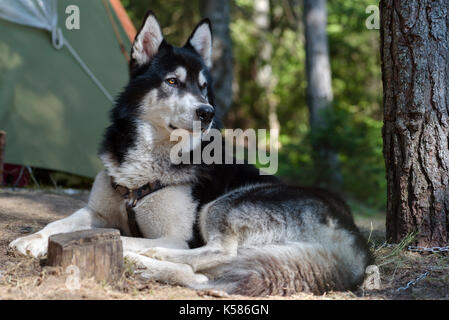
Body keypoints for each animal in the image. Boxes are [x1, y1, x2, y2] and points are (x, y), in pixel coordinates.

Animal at [9, 12, 372, 296]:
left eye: (203, 87)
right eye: (172, 81)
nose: (207, 112)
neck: (149, 161)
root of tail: (354, 240)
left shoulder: (176, 235)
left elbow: (120, 235)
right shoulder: (96, 211)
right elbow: (63, 222)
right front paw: (34, 238)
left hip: (223, 205)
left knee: (218, 253)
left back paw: (147, 255)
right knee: (203, 275)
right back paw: (148, 265)